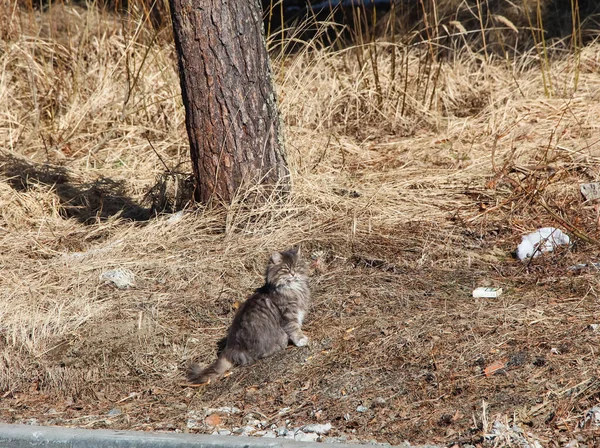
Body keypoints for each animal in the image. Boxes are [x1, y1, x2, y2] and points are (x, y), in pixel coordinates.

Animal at [186, 247, 310, 384]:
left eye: (297, 266)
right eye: (286, 269)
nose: (293, 274)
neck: (294, 289)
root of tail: (230, 348)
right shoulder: (288, 315)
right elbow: (294, 329)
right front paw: (301, 340)